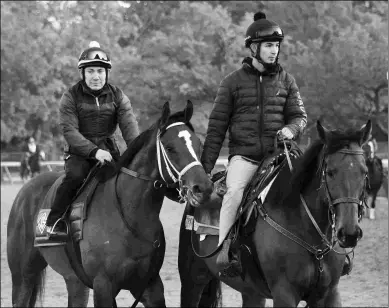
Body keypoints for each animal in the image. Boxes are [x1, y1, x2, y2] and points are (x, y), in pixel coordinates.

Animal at [6, 100, 212, 306]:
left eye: (198, 144)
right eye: (170, 148)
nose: (202, 187)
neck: (128, 214)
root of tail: (24, 192)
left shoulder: (149, 285)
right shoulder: (103, 285)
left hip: (75, 282)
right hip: (23, 276)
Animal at [177, 119, 372, 306]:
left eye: (364, 172)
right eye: (330, 172)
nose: (349, 233)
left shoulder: (329, 294)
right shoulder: (284, 294)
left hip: (251, 292)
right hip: (193, 280)